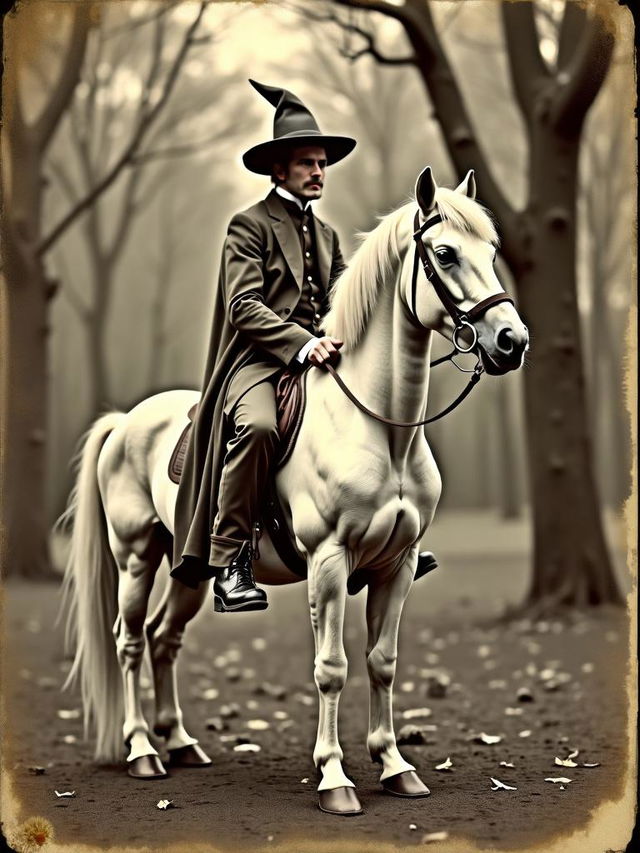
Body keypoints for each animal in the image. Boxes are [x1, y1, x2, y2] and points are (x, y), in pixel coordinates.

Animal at [61, 166, 528, 812]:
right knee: (129, 641)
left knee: (162, 639)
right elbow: (330, 667)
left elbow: (382, 662)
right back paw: (141, 751)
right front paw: (334, 777)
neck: (382, 430)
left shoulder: (399, 564)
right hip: (136, 556)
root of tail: (127, 420)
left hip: (188, 566)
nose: (512, 341)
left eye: (492, 250)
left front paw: (394, 765)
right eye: (445, 254)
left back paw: (180, 743)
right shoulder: (329, 561)